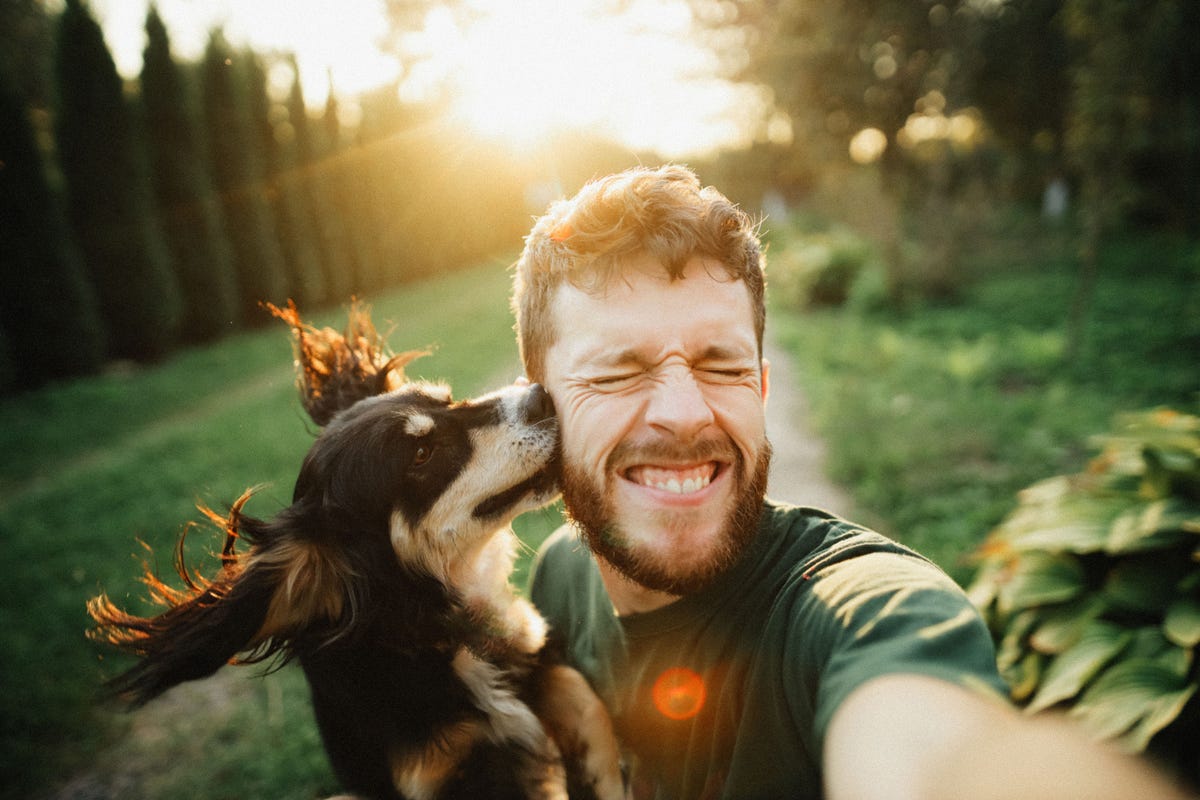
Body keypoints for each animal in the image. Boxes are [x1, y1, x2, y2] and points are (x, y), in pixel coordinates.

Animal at [88, 304, 624, 800]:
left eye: (450, 401)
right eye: (421, 455)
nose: (540, 395)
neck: (431, 627)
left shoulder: (533, 659)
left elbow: (579, 693)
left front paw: (606, 772)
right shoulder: (440, 773)